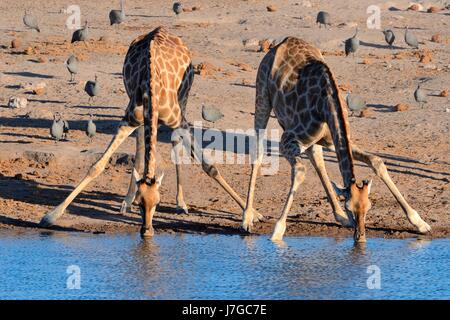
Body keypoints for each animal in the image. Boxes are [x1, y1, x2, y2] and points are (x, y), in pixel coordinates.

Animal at [39, 27, 256, 236]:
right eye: (140, 203)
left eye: (158, 202)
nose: (147, 231)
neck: (152, 87)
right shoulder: (128, 120)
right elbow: (97, 166)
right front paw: (51, 216)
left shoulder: (180, 122)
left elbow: (209, 166)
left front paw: (252, 215)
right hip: (141, 118)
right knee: (140, 146)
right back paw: (126, 202)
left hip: (184, 100)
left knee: (175, 144)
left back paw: (181, 203)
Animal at [243, 37, 432, 242]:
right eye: (350, 206)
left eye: (369, 207)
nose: (360, 237)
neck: (327, 104)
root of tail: (279, 44)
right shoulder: (287, 140)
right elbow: (300, 170)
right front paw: (277, 232)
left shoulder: (334, 140)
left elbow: (376, 161)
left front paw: (419, 222)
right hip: (262, 96)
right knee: (258, 152)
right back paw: (247, 218)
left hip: (313, 139)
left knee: (317, 159)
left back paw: (339, 216)